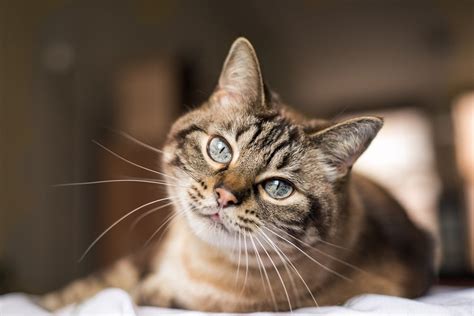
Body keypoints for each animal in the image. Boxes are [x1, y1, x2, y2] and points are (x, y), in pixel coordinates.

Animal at [39, 37, 436, 312]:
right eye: (220, 150)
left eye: (278, 187)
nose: (224, 196)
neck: (197, 260)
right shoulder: (143, 259)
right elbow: (82, 290)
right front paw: (48, 303)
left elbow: (140, 296)